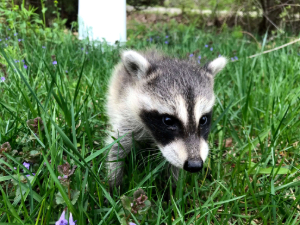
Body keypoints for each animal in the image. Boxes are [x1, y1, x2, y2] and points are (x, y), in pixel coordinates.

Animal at [106, 49, 227, 188]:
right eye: (168, 120)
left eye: (203, 120)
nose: (194, 165)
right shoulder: (126, 116)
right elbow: (116, 147)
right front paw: (114, 184)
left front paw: (173, 187)